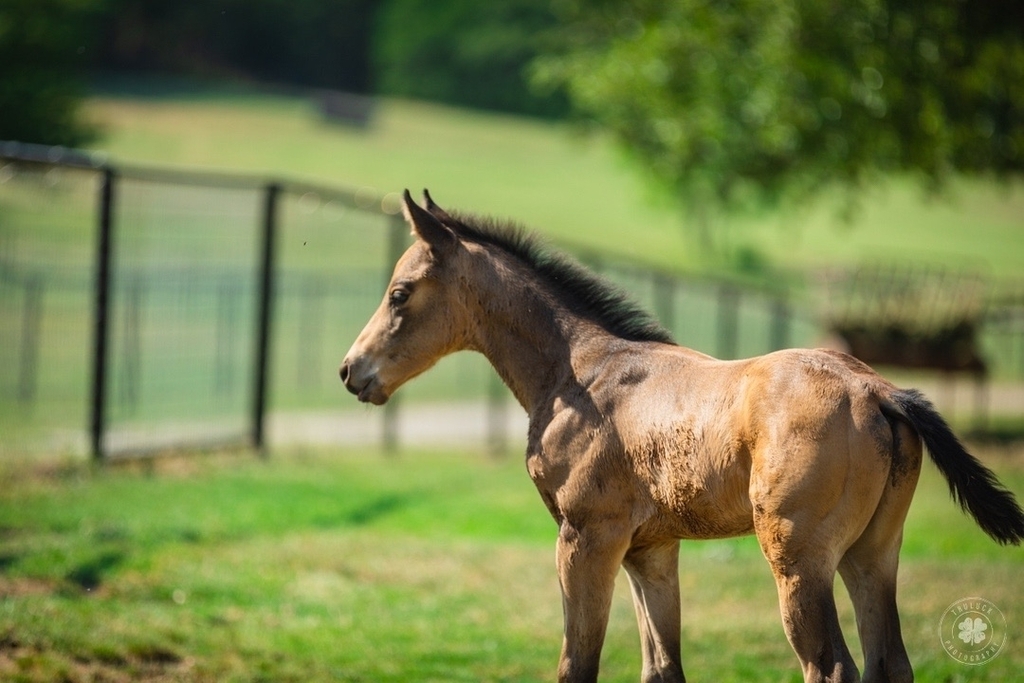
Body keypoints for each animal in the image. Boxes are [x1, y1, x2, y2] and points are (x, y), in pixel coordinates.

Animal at [339, 190, 1024, 683]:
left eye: (399, 293)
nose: (351, 371)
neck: (580, 370)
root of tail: (878, 390)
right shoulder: (650, 550)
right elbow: (662, 667)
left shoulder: (585, 538)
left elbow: (576, 665)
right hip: (872, 553)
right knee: (891, 663)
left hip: (798, 560)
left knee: (830, 667)